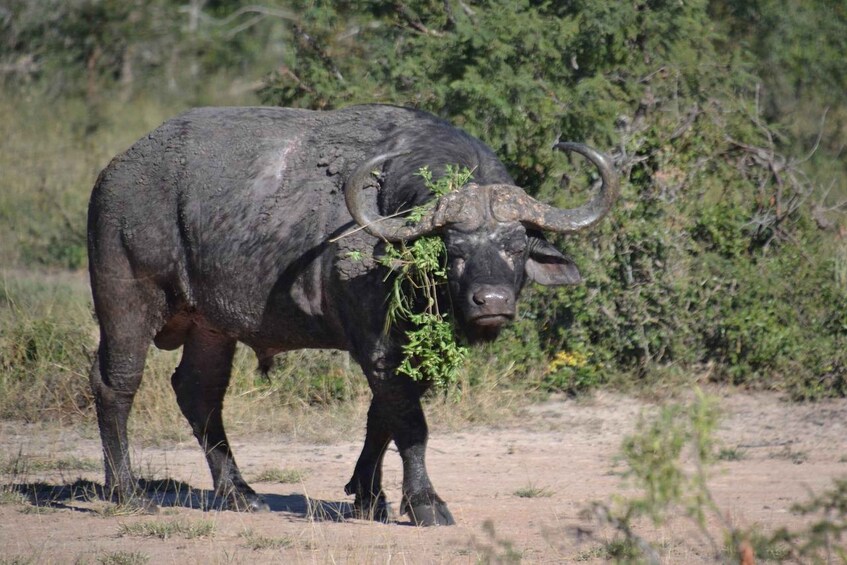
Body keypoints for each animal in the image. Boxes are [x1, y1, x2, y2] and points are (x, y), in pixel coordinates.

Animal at [87, 104, 617, 525]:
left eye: (516, 246)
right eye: (453, 250)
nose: (492, 302)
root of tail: (114, 173)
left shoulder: (401, 354)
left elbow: (381, 417)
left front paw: (368, 495)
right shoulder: (379, 348)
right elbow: (411, 425)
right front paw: (425, 503)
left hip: (210, 326)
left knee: (198, 392)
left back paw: (239, 493)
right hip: (126, 300)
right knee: (115, 384)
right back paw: (128, 491)